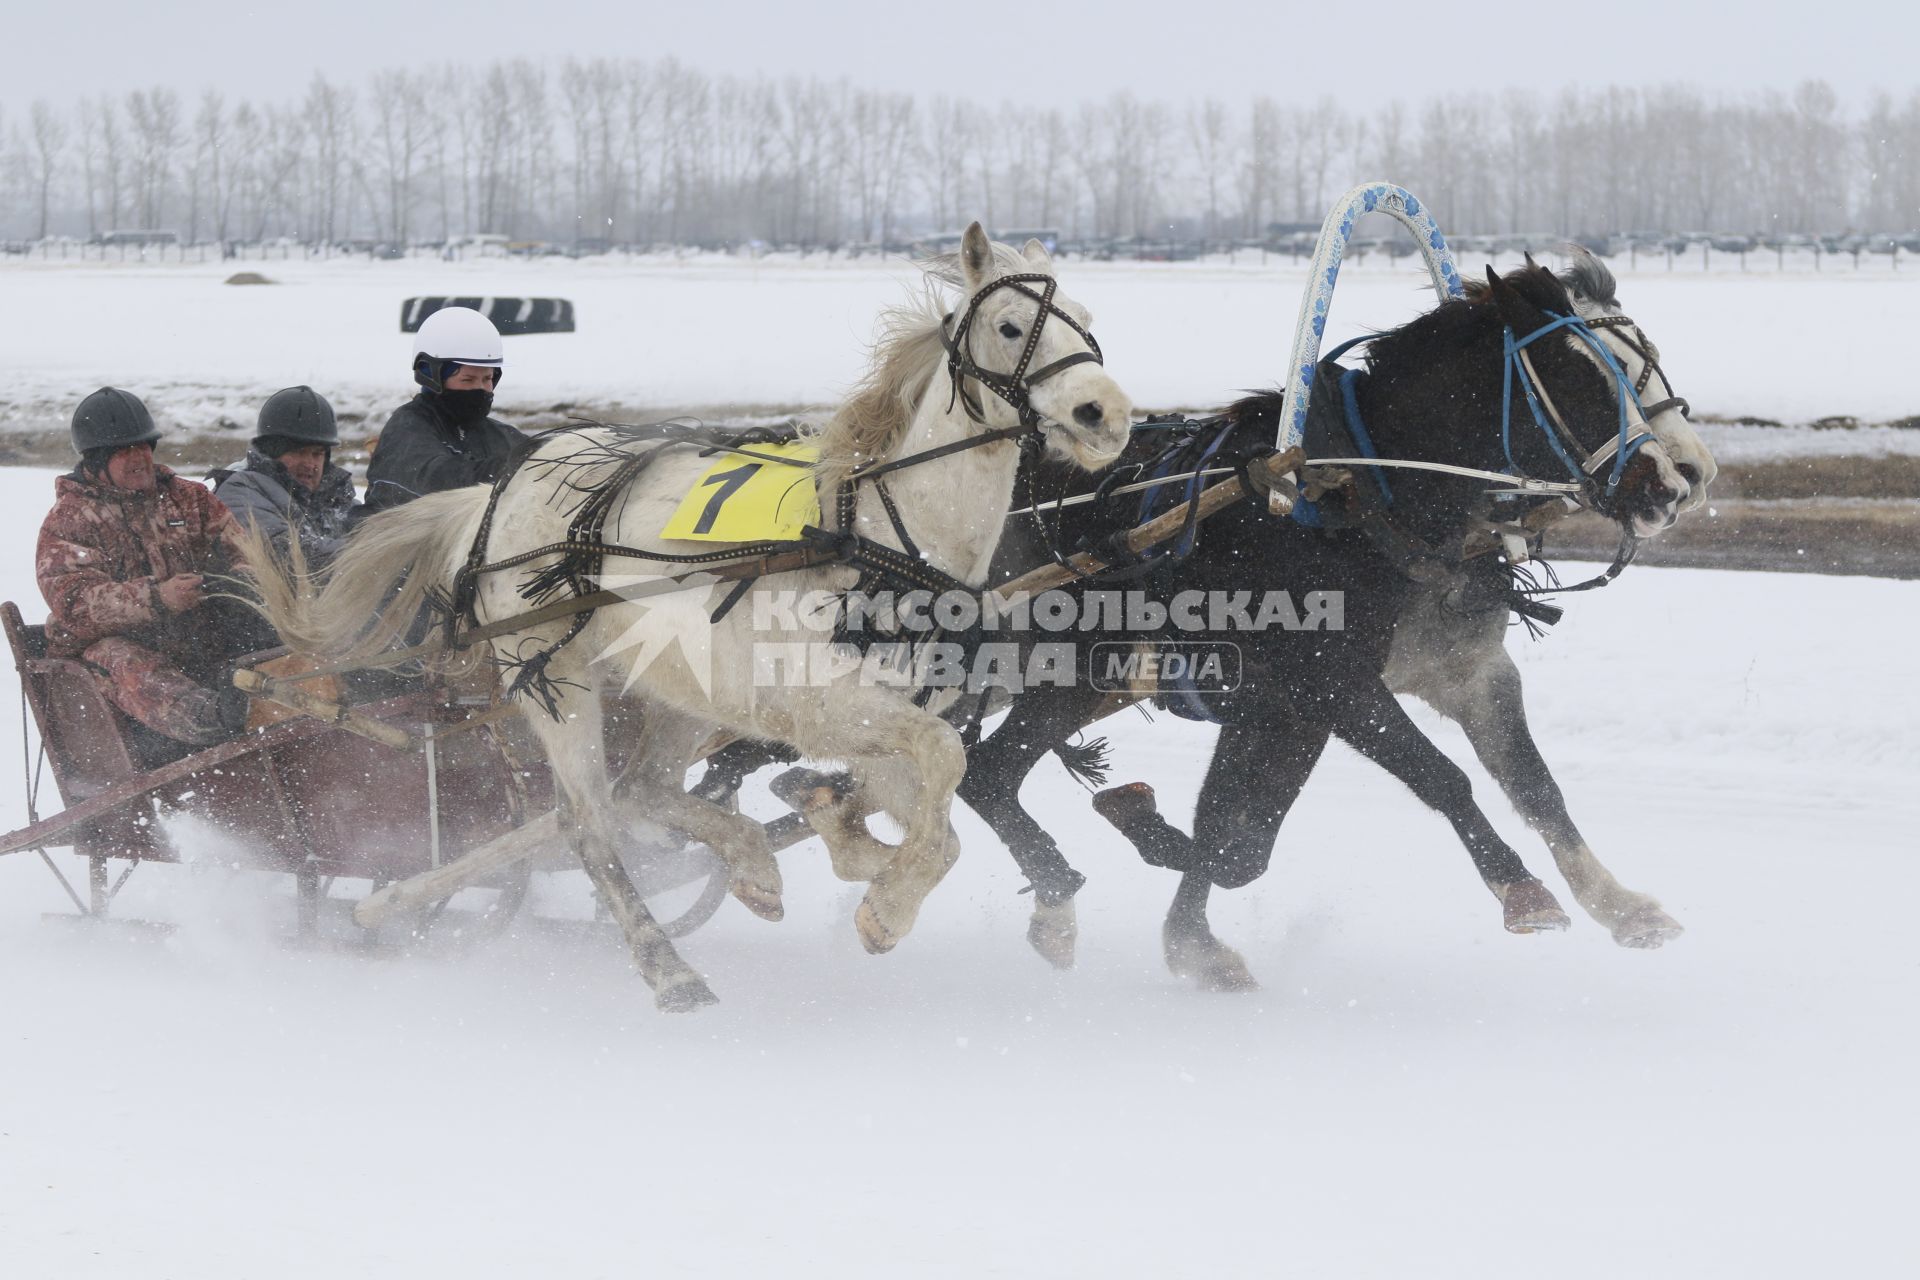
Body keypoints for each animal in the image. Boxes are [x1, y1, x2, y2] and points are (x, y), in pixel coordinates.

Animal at [247, 227, 1128, 1013]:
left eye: (1088, 317)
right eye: (1010, 326)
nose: (1105, 413)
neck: (881, 534)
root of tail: (496, 497)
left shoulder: (882, 720)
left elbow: (938, 822)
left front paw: (862, 860)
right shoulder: (831, 707)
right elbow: (944, 767)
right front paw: (885, 901)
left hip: (684, 691)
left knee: (643, 787)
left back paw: (749, 865)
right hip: (558, 682)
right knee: (591, 820)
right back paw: (669, 970)